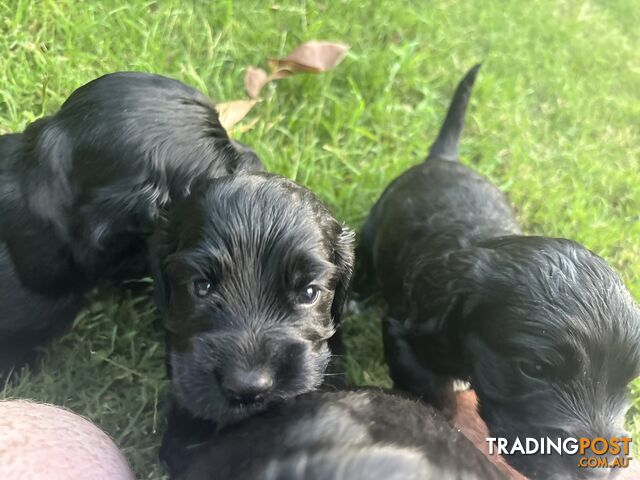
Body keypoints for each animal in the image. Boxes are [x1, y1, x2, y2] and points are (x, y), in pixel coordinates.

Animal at [356, 64, 640, 480]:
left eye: (629, 384)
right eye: (532, 368)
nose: (597, 470)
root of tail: (445, 159)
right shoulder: (404, 327)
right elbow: (431, 390)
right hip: (373, 222)